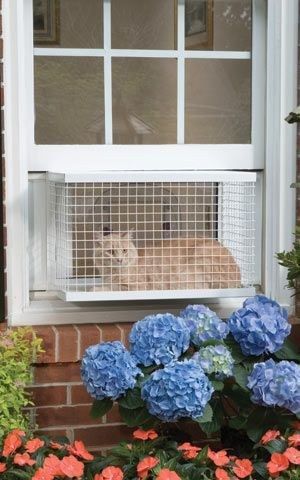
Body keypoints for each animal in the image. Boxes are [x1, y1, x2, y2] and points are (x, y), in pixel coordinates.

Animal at [94, 231, 241, 290]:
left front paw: (97, 288)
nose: (119, 260)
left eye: (124, 250)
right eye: (110, 252)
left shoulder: (140, 286)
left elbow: (113, 287)